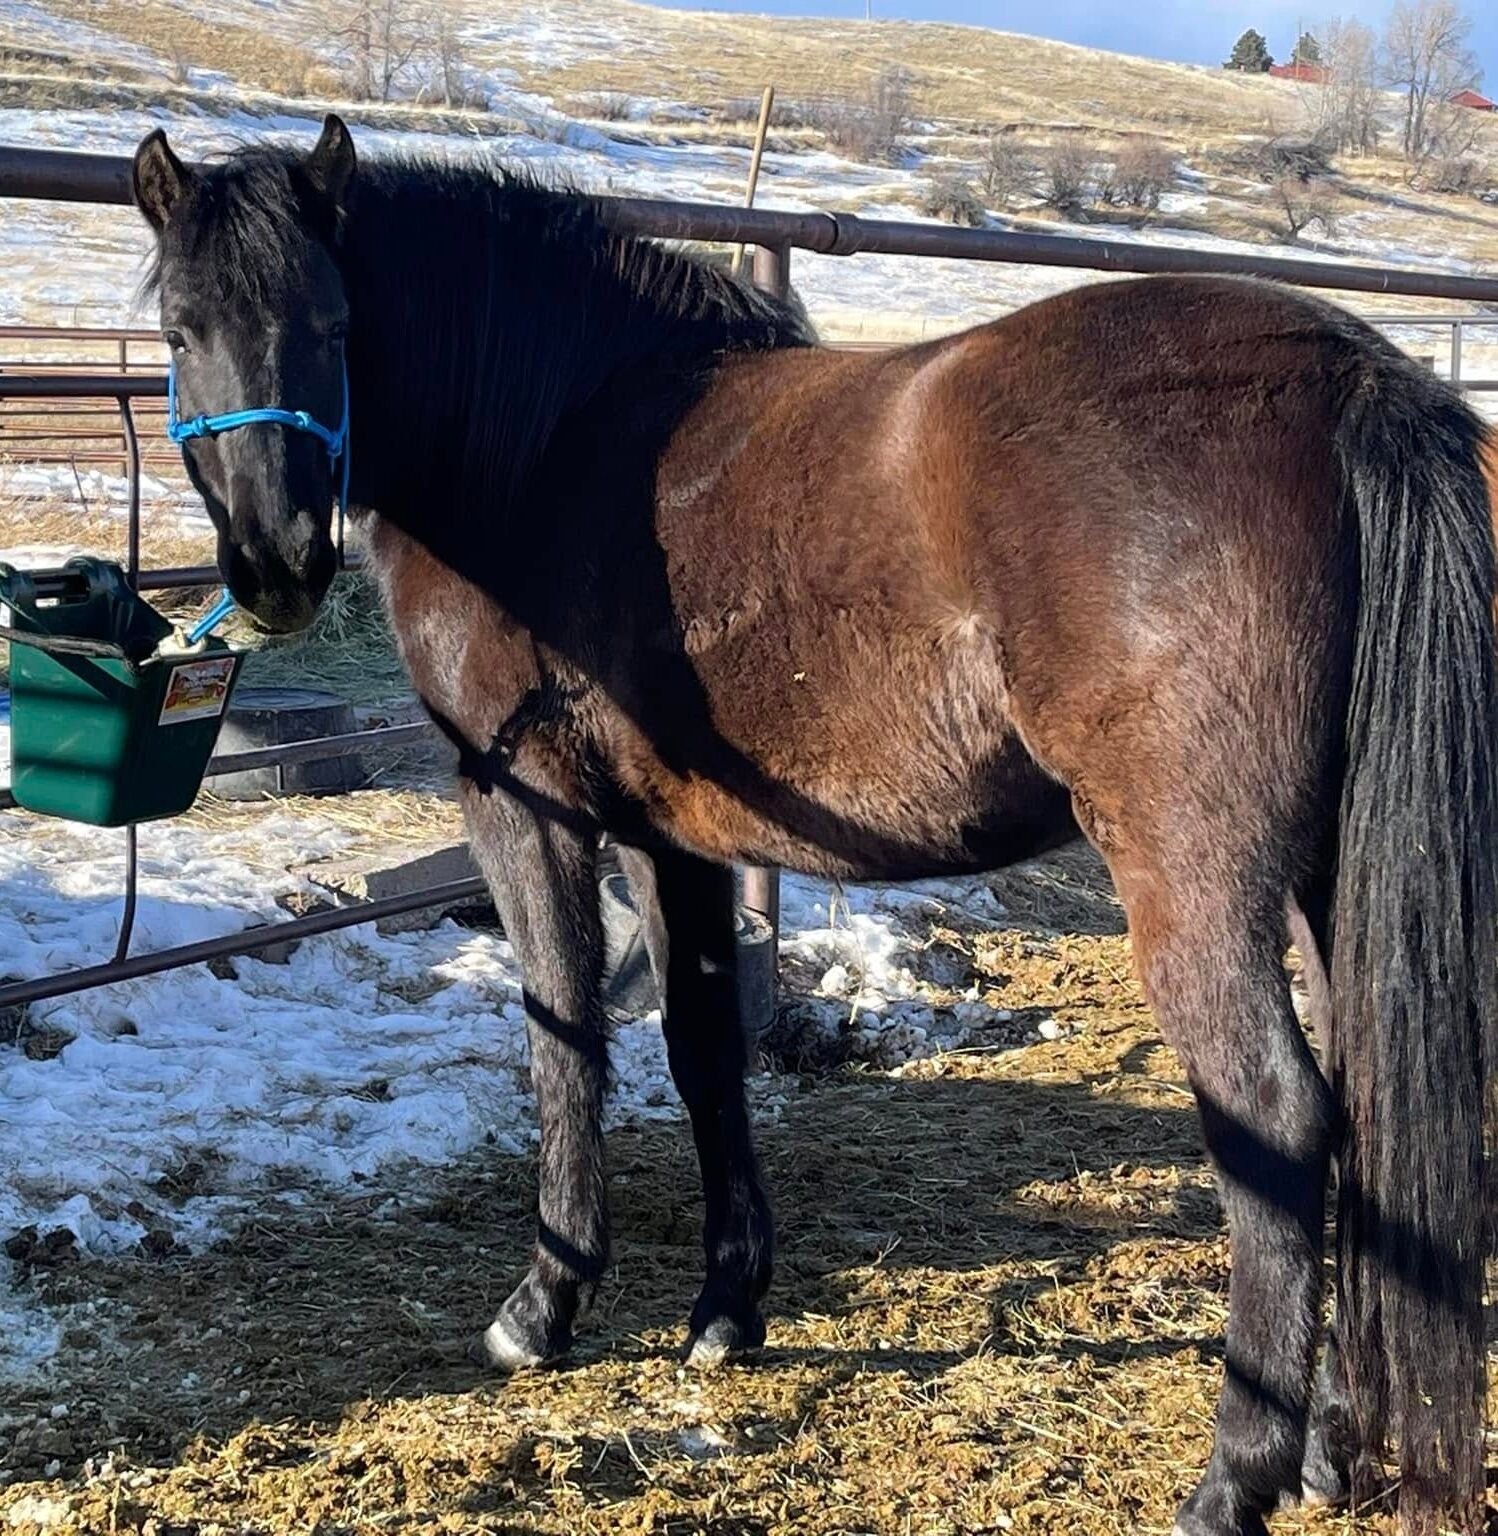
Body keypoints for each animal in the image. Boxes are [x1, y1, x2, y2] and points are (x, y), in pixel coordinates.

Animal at [131, 116, 1496, 1536]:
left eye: (337, 323)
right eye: (179, 328)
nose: (277, 565)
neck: (547, 437)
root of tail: (1344, 378)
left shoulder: (529, 806)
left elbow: (565, 1037)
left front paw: (542, 1307)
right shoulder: (676, 838)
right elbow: (701, 1050)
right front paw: (726, 1307)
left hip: (1193, 875)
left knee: (1280, 1120)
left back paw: (1234, 1480)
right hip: (1325, 880)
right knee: (1362, 1117)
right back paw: (1332, 1447)